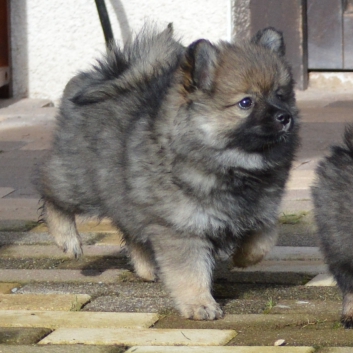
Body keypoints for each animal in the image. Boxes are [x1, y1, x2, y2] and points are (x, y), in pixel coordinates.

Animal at [35, 24, 298, 320]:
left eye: (280, 95)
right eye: (246, 103)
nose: (285, 117)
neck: (235, 167)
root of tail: (105, 74)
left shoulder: (261, 212)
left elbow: (263, 241)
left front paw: (241, 257)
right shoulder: (182, 228)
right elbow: (190, 272)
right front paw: (200, 304)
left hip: (125, 195)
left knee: (132, 232)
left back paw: (147, 268)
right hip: (80, 182)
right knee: (51, 193)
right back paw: (68, 240)